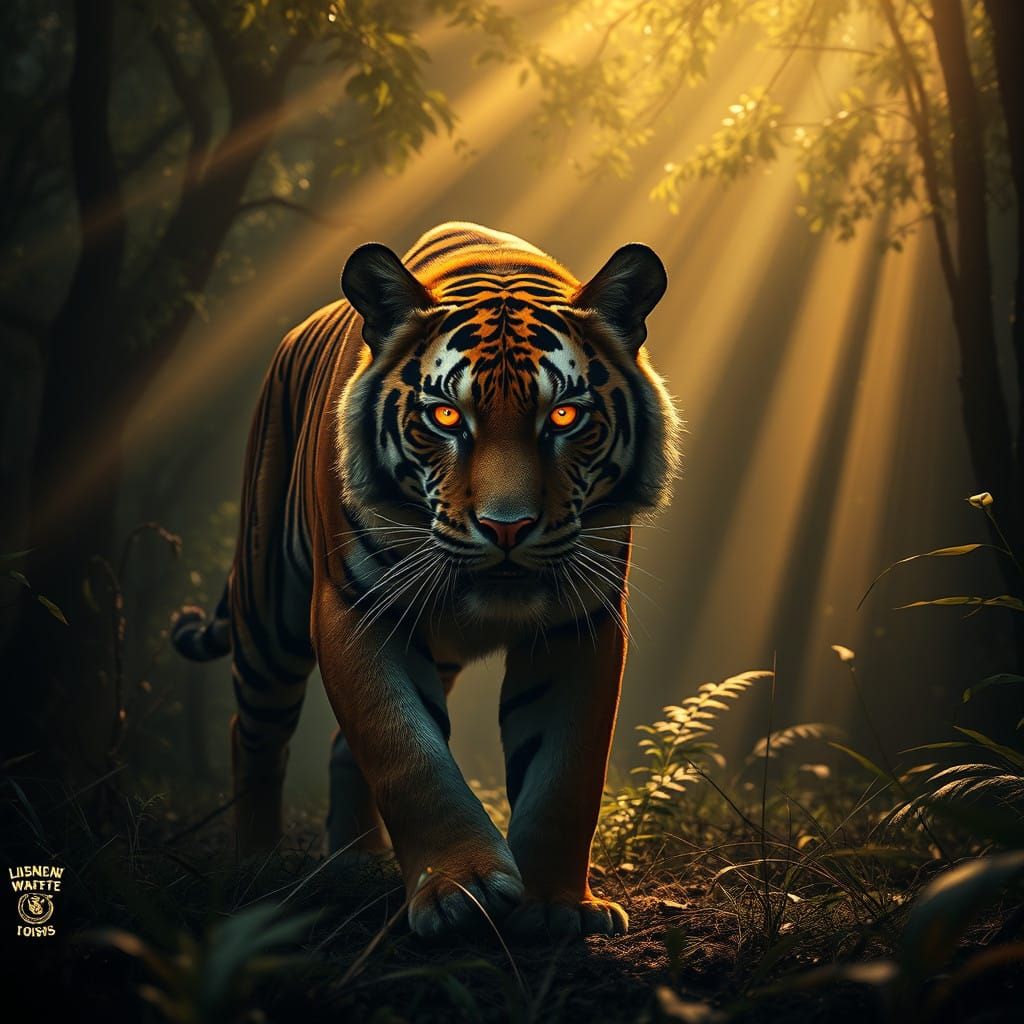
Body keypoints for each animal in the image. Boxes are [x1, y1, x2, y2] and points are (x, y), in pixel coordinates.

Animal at [171, 221, 680, 940]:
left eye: (563, 417)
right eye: (445, 418)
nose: (506, 528)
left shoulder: (581, 621)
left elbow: (565, 771)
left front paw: (557, 905)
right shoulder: (358, 610)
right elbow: (406, 752)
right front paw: (458, 890)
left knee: (337, 745)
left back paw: (356, 864)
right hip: (269, 615)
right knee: (254, 731)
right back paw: (257, 865)